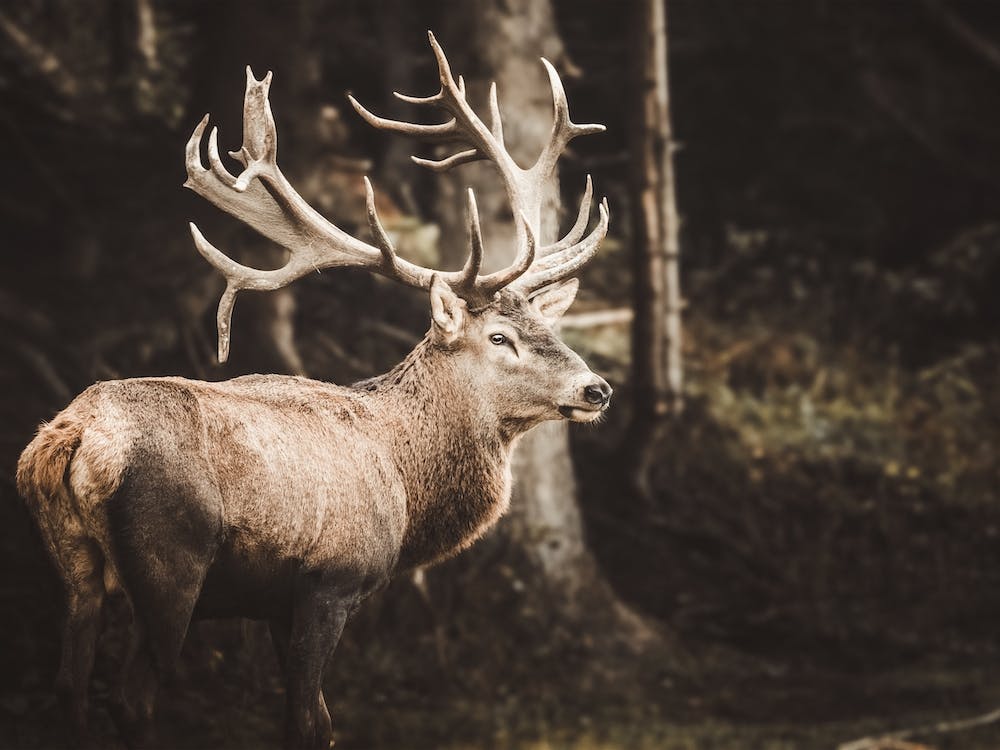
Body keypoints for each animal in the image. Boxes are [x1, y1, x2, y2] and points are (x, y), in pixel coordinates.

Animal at [16, 32, 611, 750]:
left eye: (547, 326)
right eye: (499, 337)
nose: (597, 389)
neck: (406, 485)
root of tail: (70, 437)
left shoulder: (275, 603)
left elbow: (314, 720)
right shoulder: (331, 579)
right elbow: (308, 719)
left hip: (73, 567)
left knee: (67, 688)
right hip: (169, 564)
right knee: (131, 698)